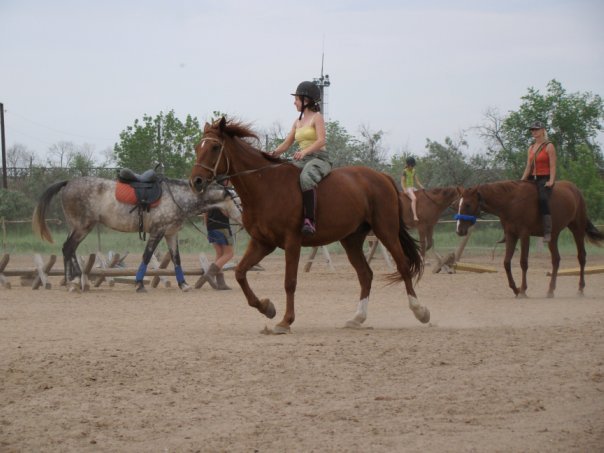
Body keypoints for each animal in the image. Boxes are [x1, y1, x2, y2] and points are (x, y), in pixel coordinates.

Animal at [32, 175, 241, 292]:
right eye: (238, 201)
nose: (243, 219)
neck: (177, 198)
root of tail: (69, 183)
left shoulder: (171, 234)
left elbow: (177, 259)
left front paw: (183, 284)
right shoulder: (157, 232)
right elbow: (147, 257)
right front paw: (139, 284)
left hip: (78, 228)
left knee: (70, 249)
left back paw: (76, 280)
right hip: (82, 227)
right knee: (68, 248)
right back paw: (73, 281)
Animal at [190, 118, 430, 334]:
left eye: (215, 147)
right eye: (197, 147)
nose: (196, 181)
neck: (265, 186)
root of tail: (381, 176)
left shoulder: (291, 242)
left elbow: (290, 282)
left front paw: (285, 321)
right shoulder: (262, 243)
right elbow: (240, 273)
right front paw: (267, 308)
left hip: (385, 231)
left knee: (402, 265)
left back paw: (420, 311)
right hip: (351, 239)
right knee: (365, 274)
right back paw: (357, 318)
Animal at [456, 178, 600, 298]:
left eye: (467, 204)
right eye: (459, 204)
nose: (459, 230)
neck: (511, 202)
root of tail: (575, 190)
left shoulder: (524, 235)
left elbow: (523, 262)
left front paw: (523, 290)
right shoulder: (511, 235)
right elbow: (506, 262)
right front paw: (515, 289)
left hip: (577, 229)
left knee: (581, 257)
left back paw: (580, 289)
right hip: (553, 235)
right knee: (556, 260)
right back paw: (550, 290)